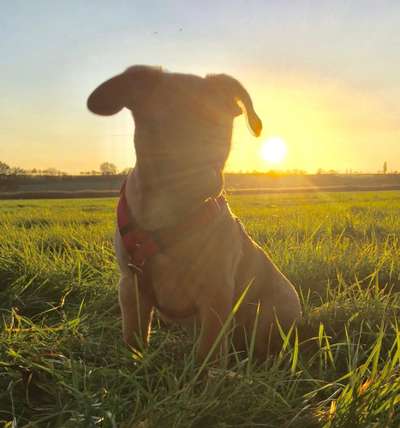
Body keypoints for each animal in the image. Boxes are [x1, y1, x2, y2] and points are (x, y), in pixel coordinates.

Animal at [86, 65, 300, 362]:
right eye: (166, 126)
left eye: (219, 129)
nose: (203, 179)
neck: (171, 214)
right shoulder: (131, 287)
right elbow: (133, 338)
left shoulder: (216, 293)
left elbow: (208, 352)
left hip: (268, 314)